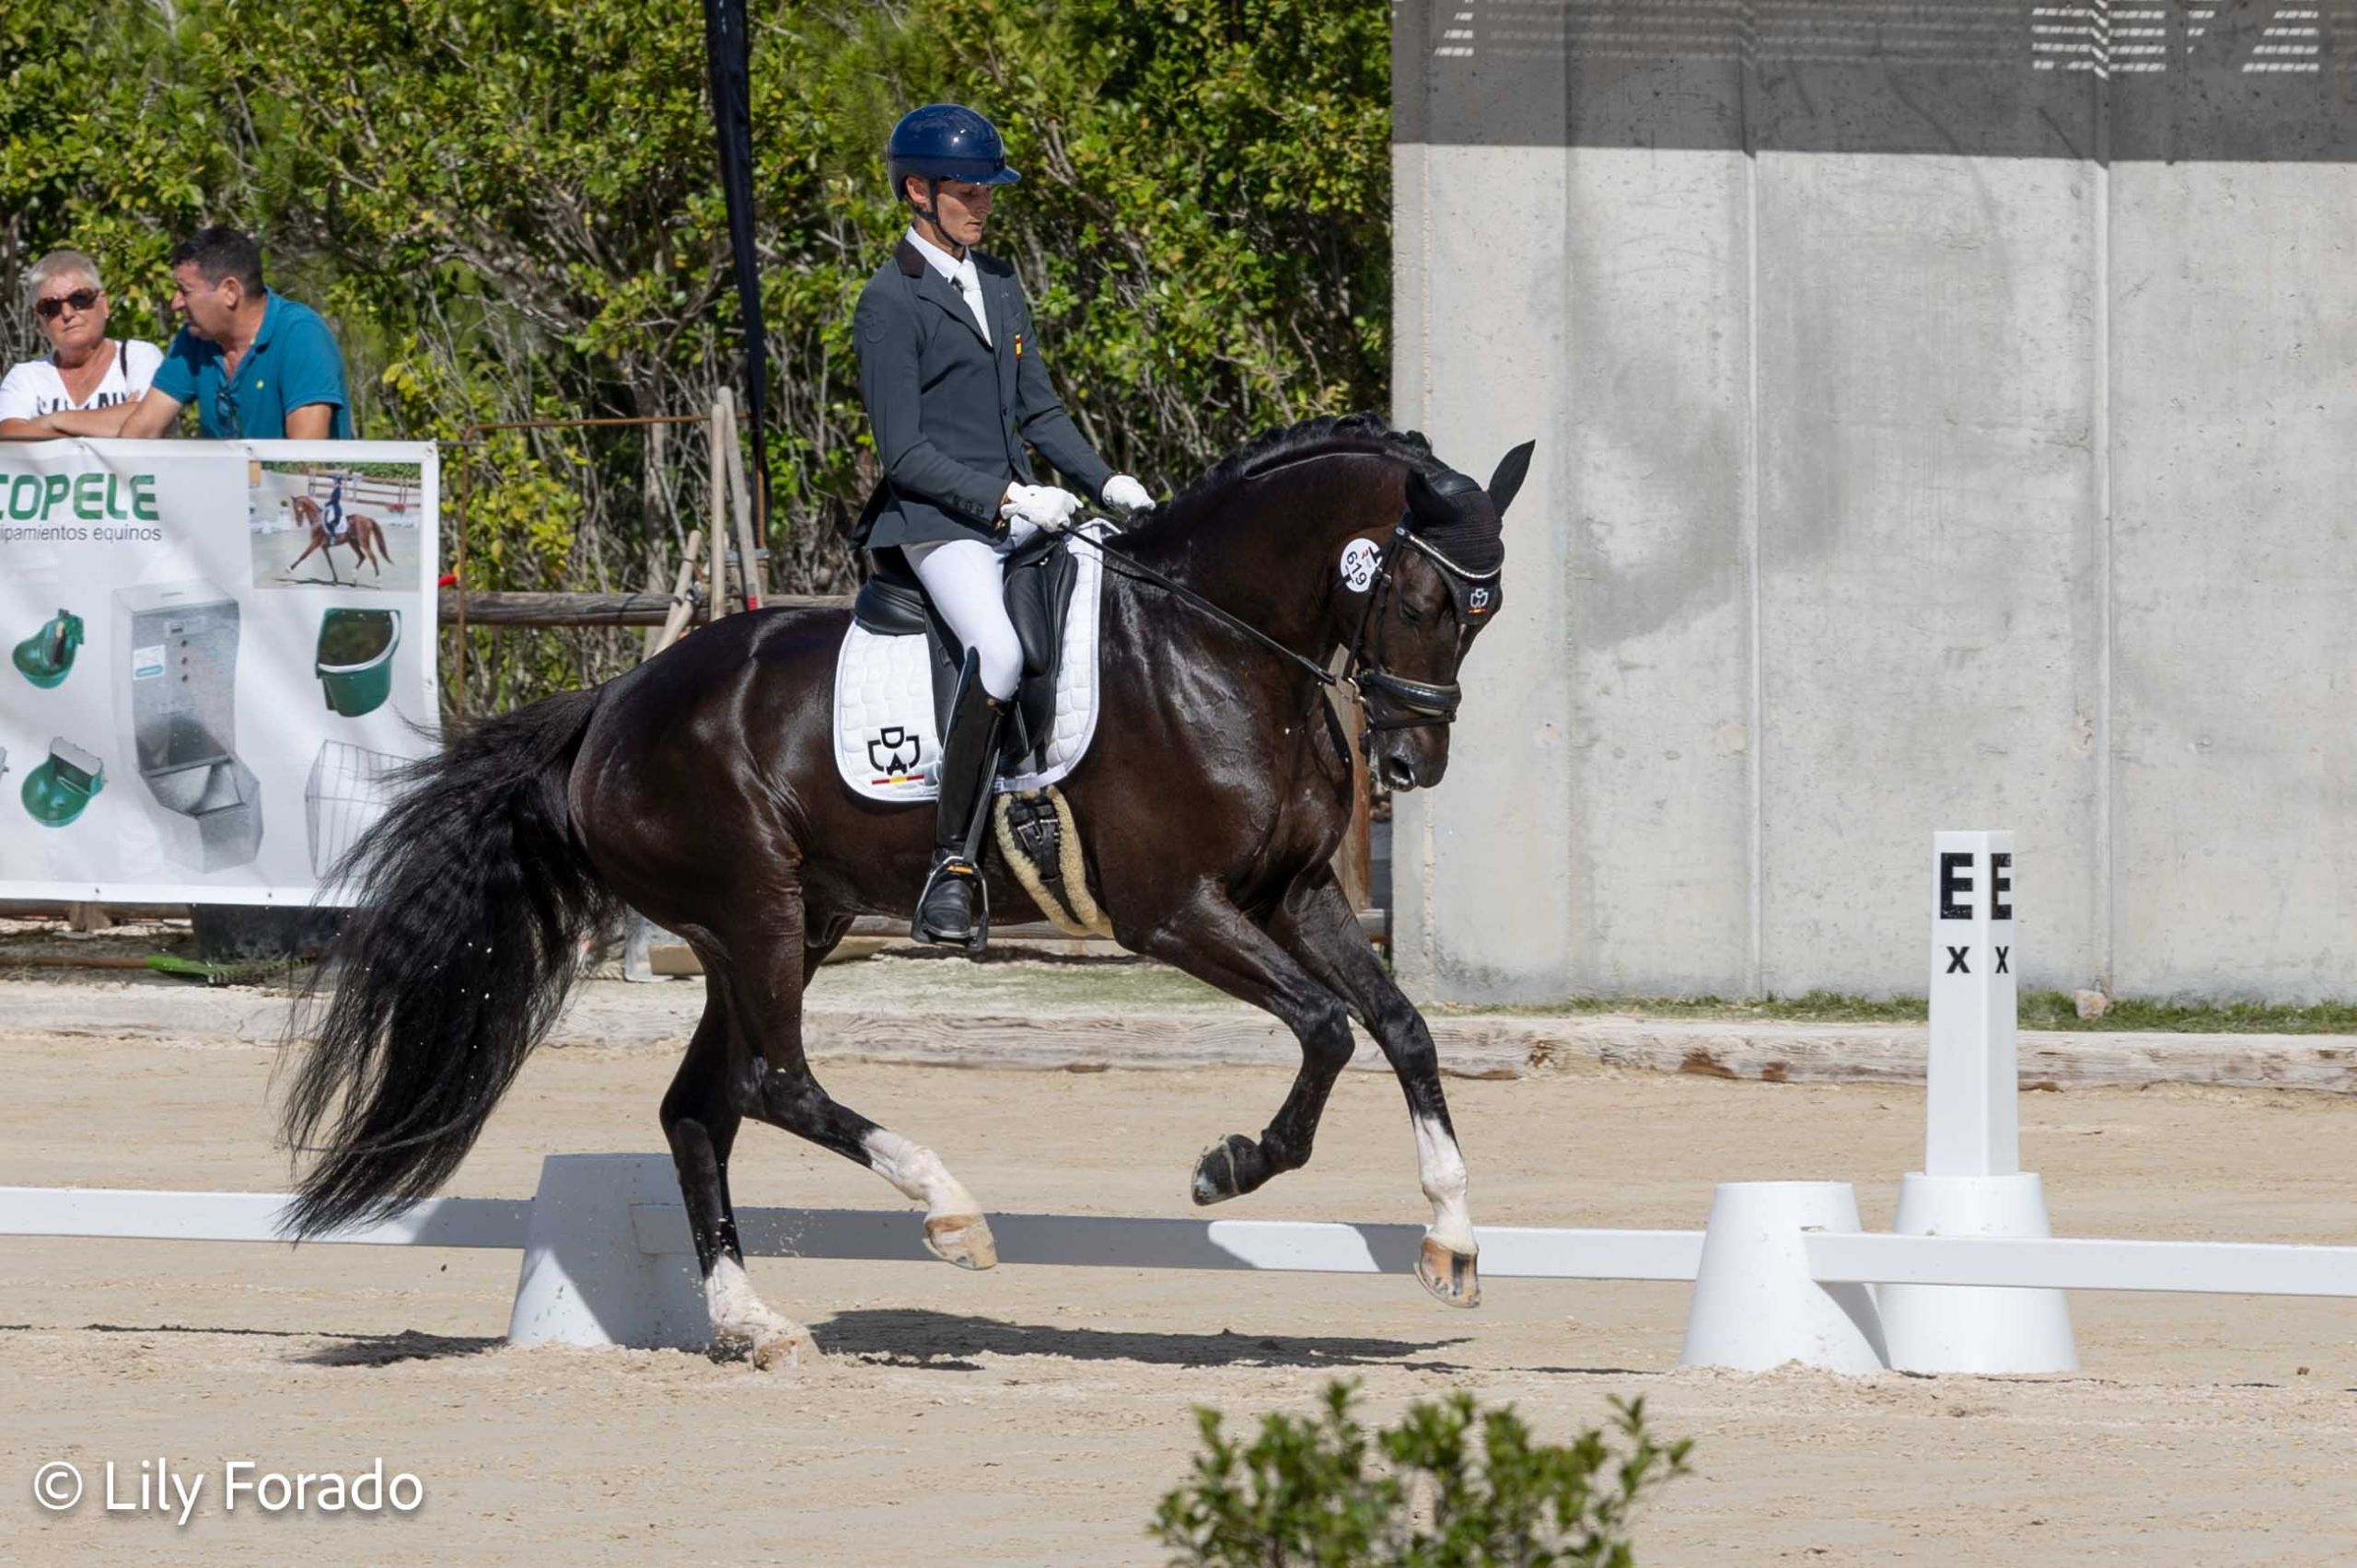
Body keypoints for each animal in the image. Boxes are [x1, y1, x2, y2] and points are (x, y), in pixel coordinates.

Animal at [284, 410, 1537, 1367]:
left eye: (1486, 612)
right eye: (1419, 598)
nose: (1412, 761)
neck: (1217, 648)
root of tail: (614, 705)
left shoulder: (1297, 894)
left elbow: (1401, 1027)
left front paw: (1453, 1241)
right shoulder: (1173, 910)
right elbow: (1326, 1027)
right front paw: (1227, 1165)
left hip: (784, 922)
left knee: (700, 1106)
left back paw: (755, 1323)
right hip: (755, 915)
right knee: (774, 1079)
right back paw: (949, 1210)